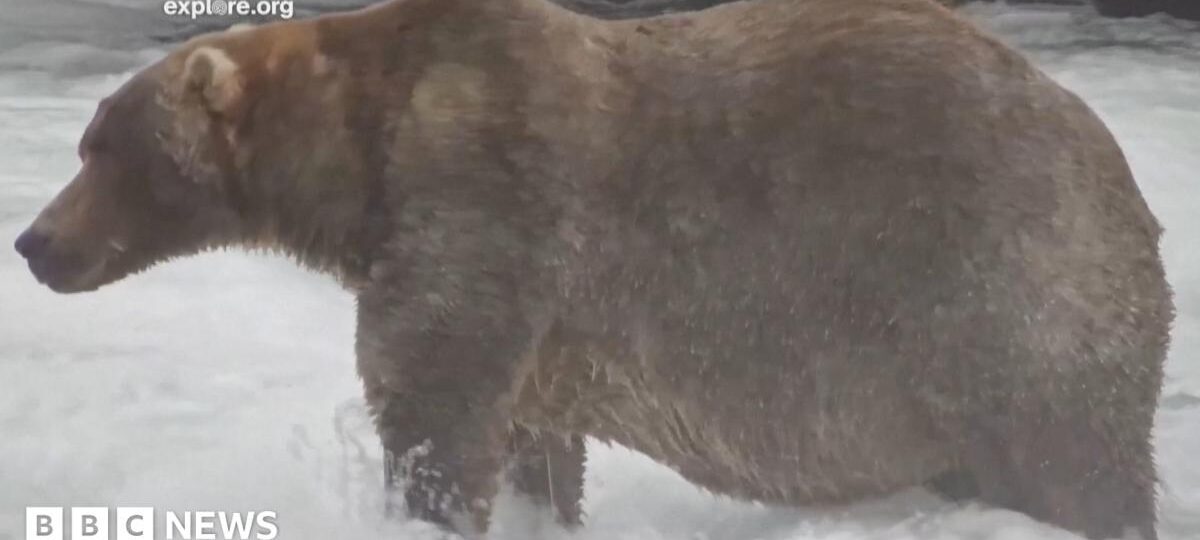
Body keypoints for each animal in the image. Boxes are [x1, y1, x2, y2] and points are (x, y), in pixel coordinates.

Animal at [14, 0, 1172, 538]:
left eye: (101, 147)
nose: (32, 242)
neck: (356, 164)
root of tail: (1116, 162)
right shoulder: (533, 314)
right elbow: (533, 440)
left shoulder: (481, 204)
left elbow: (432, 405)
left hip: (998, 289)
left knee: (1072, 457)